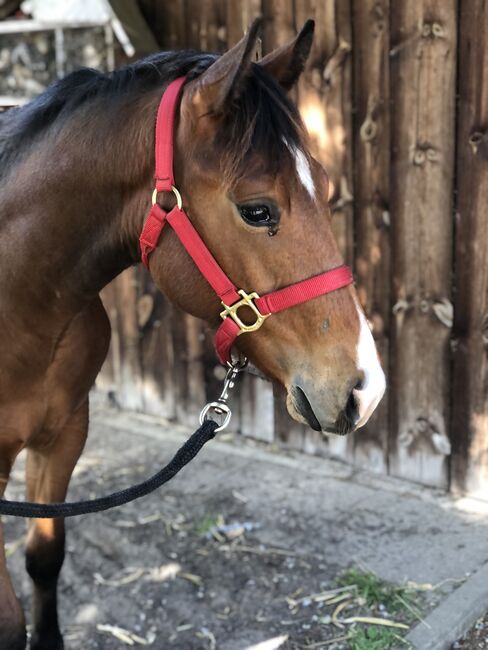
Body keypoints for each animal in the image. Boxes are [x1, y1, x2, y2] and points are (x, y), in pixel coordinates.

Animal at [0, 17, 386, 644]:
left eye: (327, 188)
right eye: (257, 210)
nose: (365, 388)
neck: (22, 307)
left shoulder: (64, 437)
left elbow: (44, 560)